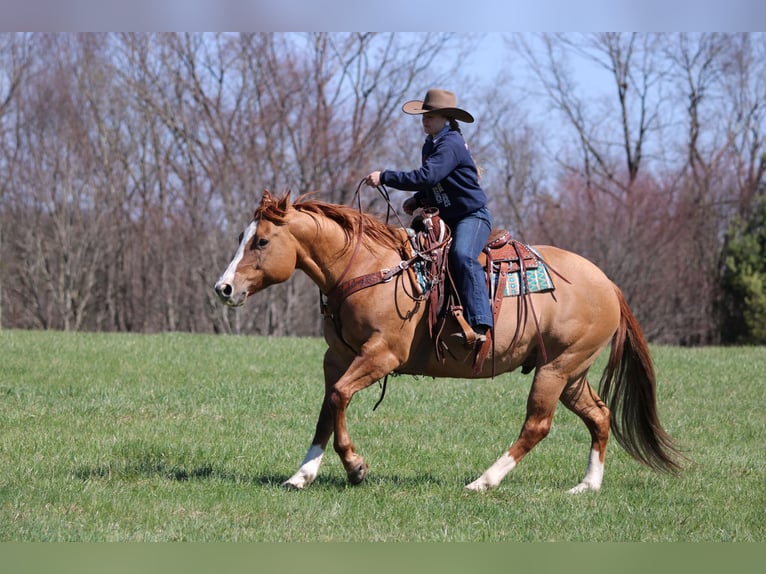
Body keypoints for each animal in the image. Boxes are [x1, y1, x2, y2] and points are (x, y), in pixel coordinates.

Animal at [214, 190, 684, 493]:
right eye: (241, 238)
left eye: (261, 241)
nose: (223, 288)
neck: (369, 267)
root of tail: (608, 284)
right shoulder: (338, 357)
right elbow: (328, 409)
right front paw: (302, 474)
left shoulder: (381, 356)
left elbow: (341, 397)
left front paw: (355, 467)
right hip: (571, 373)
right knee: (600, 416)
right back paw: (587, 486)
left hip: (555, 370)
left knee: (537, 425)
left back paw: (483, 481)